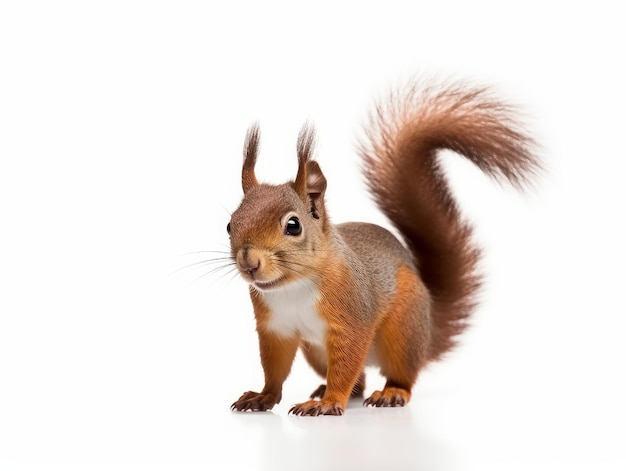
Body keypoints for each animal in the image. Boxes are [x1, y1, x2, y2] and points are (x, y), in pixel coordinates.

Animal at [227, 77, 540, 416]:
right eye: (229, 225)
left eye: (293, 225)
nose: (249, 263)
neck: (293, 287)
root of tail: (428, 331)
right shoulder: (275, 329)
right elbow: (275, 368)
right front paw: (263, 396)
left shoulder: (352, 317)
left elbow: (347, 361)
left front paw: (329, 402)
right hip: (318, 352)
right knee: (360, 378)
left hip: (403, 330)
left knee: (396, 374)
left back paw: (389, 393)